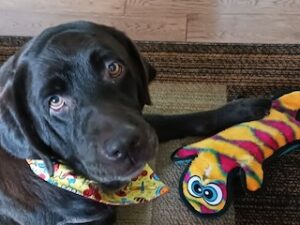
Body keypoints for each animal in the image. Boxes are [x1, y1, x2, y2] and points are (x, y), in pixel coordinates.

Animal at [0, 20, 272, 223]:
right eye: (54, 102)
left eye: (114, 68)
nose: (125, 145)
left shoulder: (143, 123)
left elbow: (177, 120)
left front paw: (241, 110)